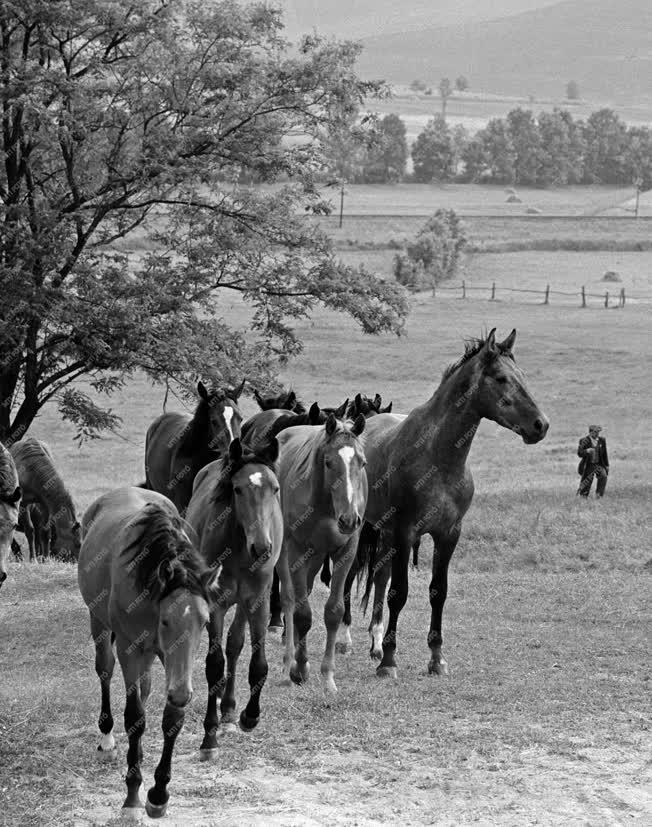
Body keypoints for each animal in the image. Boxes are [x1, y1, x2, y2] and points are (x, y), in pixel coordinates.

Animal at [77, 488, 213, 820]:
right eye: (166, 620)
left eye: (204, 622)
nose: (182, 693)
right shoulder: (130, 648)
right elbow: (135, 717)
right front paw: (132, 796)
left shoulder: (172, 661)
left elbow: (172, 717)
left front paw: (158, 794)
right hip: (99, 623)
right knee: (105, 670)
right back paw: (108, 740)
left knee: (146, 687)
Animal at [185, 440, 284, 756]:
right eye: (238, 490)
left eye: (275, 489)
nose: (262, 547)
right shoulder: (215, 604)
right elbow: (214, 666)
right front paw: (209, 737)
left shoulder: (258, 602)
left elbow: (258, 663)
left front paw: (250, 717)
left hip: (243, 603)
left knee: (236, 644)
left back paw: (229, 711)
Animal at [348, 330, 548, 680]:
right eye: (501, 378)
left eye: (522, 376)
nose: (540, 425)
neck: (438, 459)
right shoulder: (405, 532)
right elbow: (399, 594)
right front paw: (390, 663)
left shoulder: (448, 534)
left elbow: (437, 592)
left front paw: (436, 659)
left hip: (385, 533)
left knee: (380, 578)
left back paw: (375, 645)